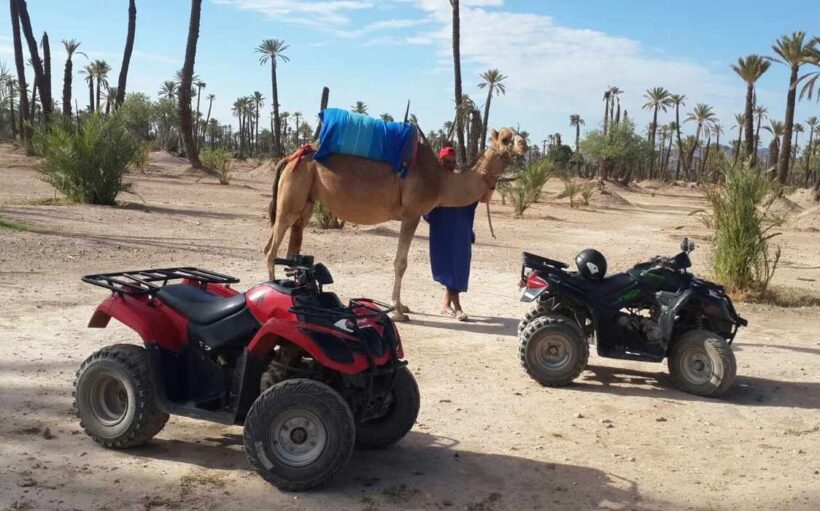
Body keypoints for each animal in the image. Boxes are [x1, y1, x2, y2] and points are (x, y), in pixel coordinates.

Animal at [266, 128, 528, 320]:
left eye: (519, 133)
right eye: (506, 139)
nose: (524, 144)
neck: (442, 181)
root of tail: (291, 157)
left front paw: (402, 307)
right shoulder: (412, 214)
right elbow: (401, 263)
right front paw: (399, 310)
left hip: (307, 200)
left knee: (291, 245)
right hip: (293, 194)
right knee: (271, 248)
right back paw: (273, 289)